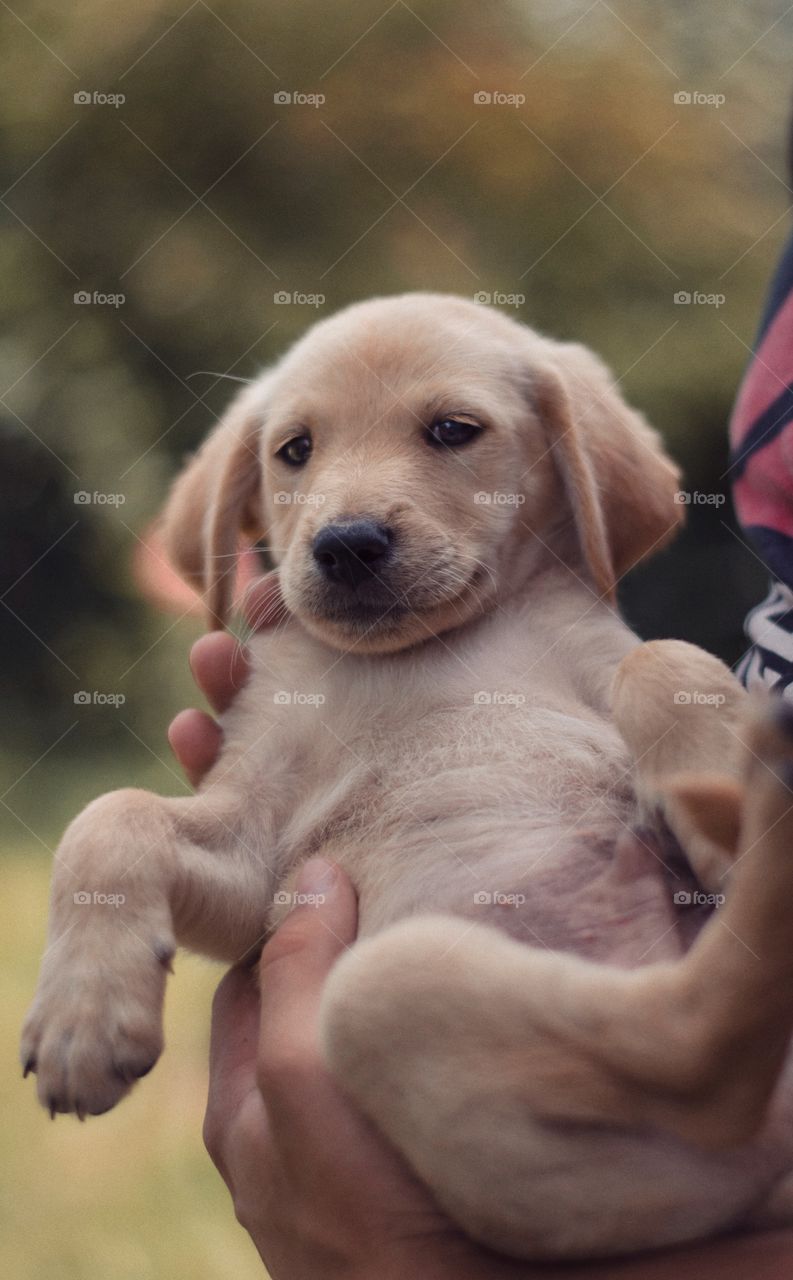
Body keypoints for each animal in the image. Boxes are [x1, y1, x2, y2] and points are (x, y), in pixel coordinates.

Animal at [20, 296, 793, 1259]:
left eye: (453, 430)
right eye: (295, 450)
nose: (345, 544)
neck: (424, 654)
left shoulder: (600, 646)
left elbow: (665, 655)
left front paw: (710, 767)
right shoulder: (257, 860)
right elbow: (112, 811)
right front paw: (81, 1017)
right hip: (402, 1006)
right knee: (699, 1052)